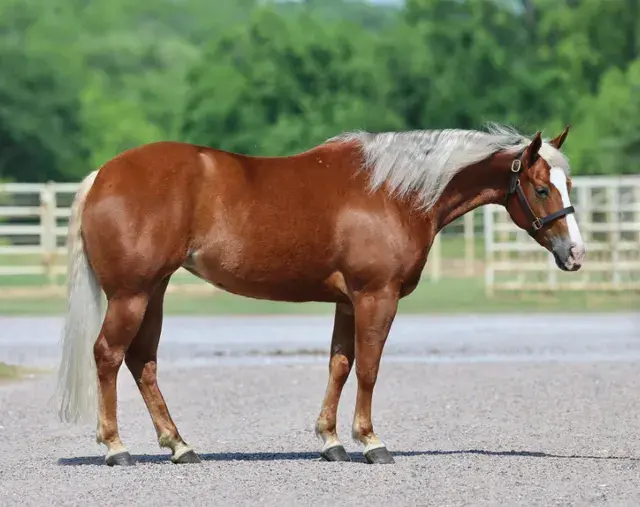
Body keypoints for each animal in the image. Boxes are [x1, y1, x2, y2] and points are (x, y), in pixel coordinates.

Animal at [55, 123, 585, 466]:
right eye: (542, 189)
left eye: (568, 184)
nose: (575, 253)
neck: (393, 192)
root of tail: (103, 175)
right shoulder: (376, 296)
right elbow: (369, 368)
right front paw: (370, 442)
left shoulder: (348, 302)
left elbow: (340, 365)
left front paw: (331, 440)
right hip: (132, 293)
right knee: (108, 355)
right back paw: (116, 448)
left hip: (154, 291)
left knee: (141, 361)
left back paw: (179, 445)